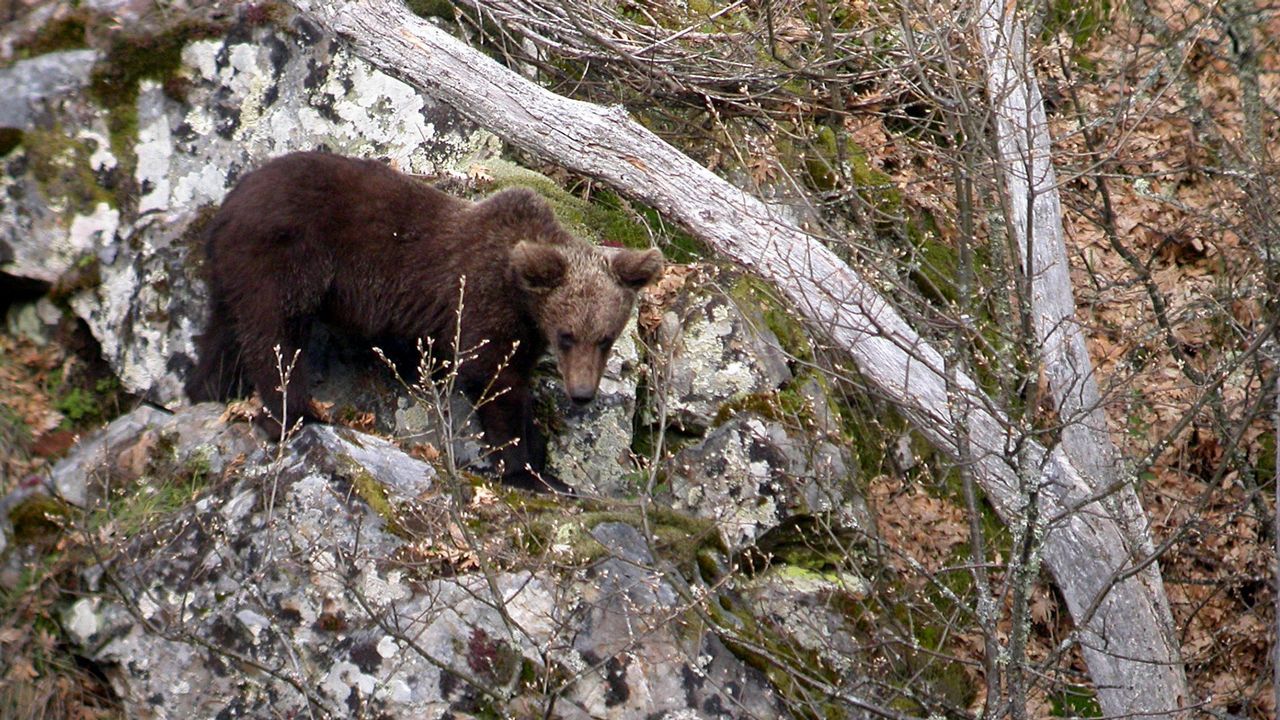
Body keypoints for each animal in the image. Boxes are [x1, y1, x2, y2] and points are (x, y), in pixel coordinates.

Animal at [186, 151, 665, 491]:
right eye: (568, 335)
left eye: (605, 338)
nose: (582, 394)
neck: (523, 299)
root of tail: (230, 202)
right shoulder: (480, 303)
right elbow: (493, 381)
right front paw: (526, 471)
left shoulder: (524, 331)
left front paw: (546, 469)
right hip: (283, 257)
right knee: (275, 335)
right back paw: (295, 414)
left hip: (231, 273)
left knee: (223, 333)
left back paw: (210, 390)